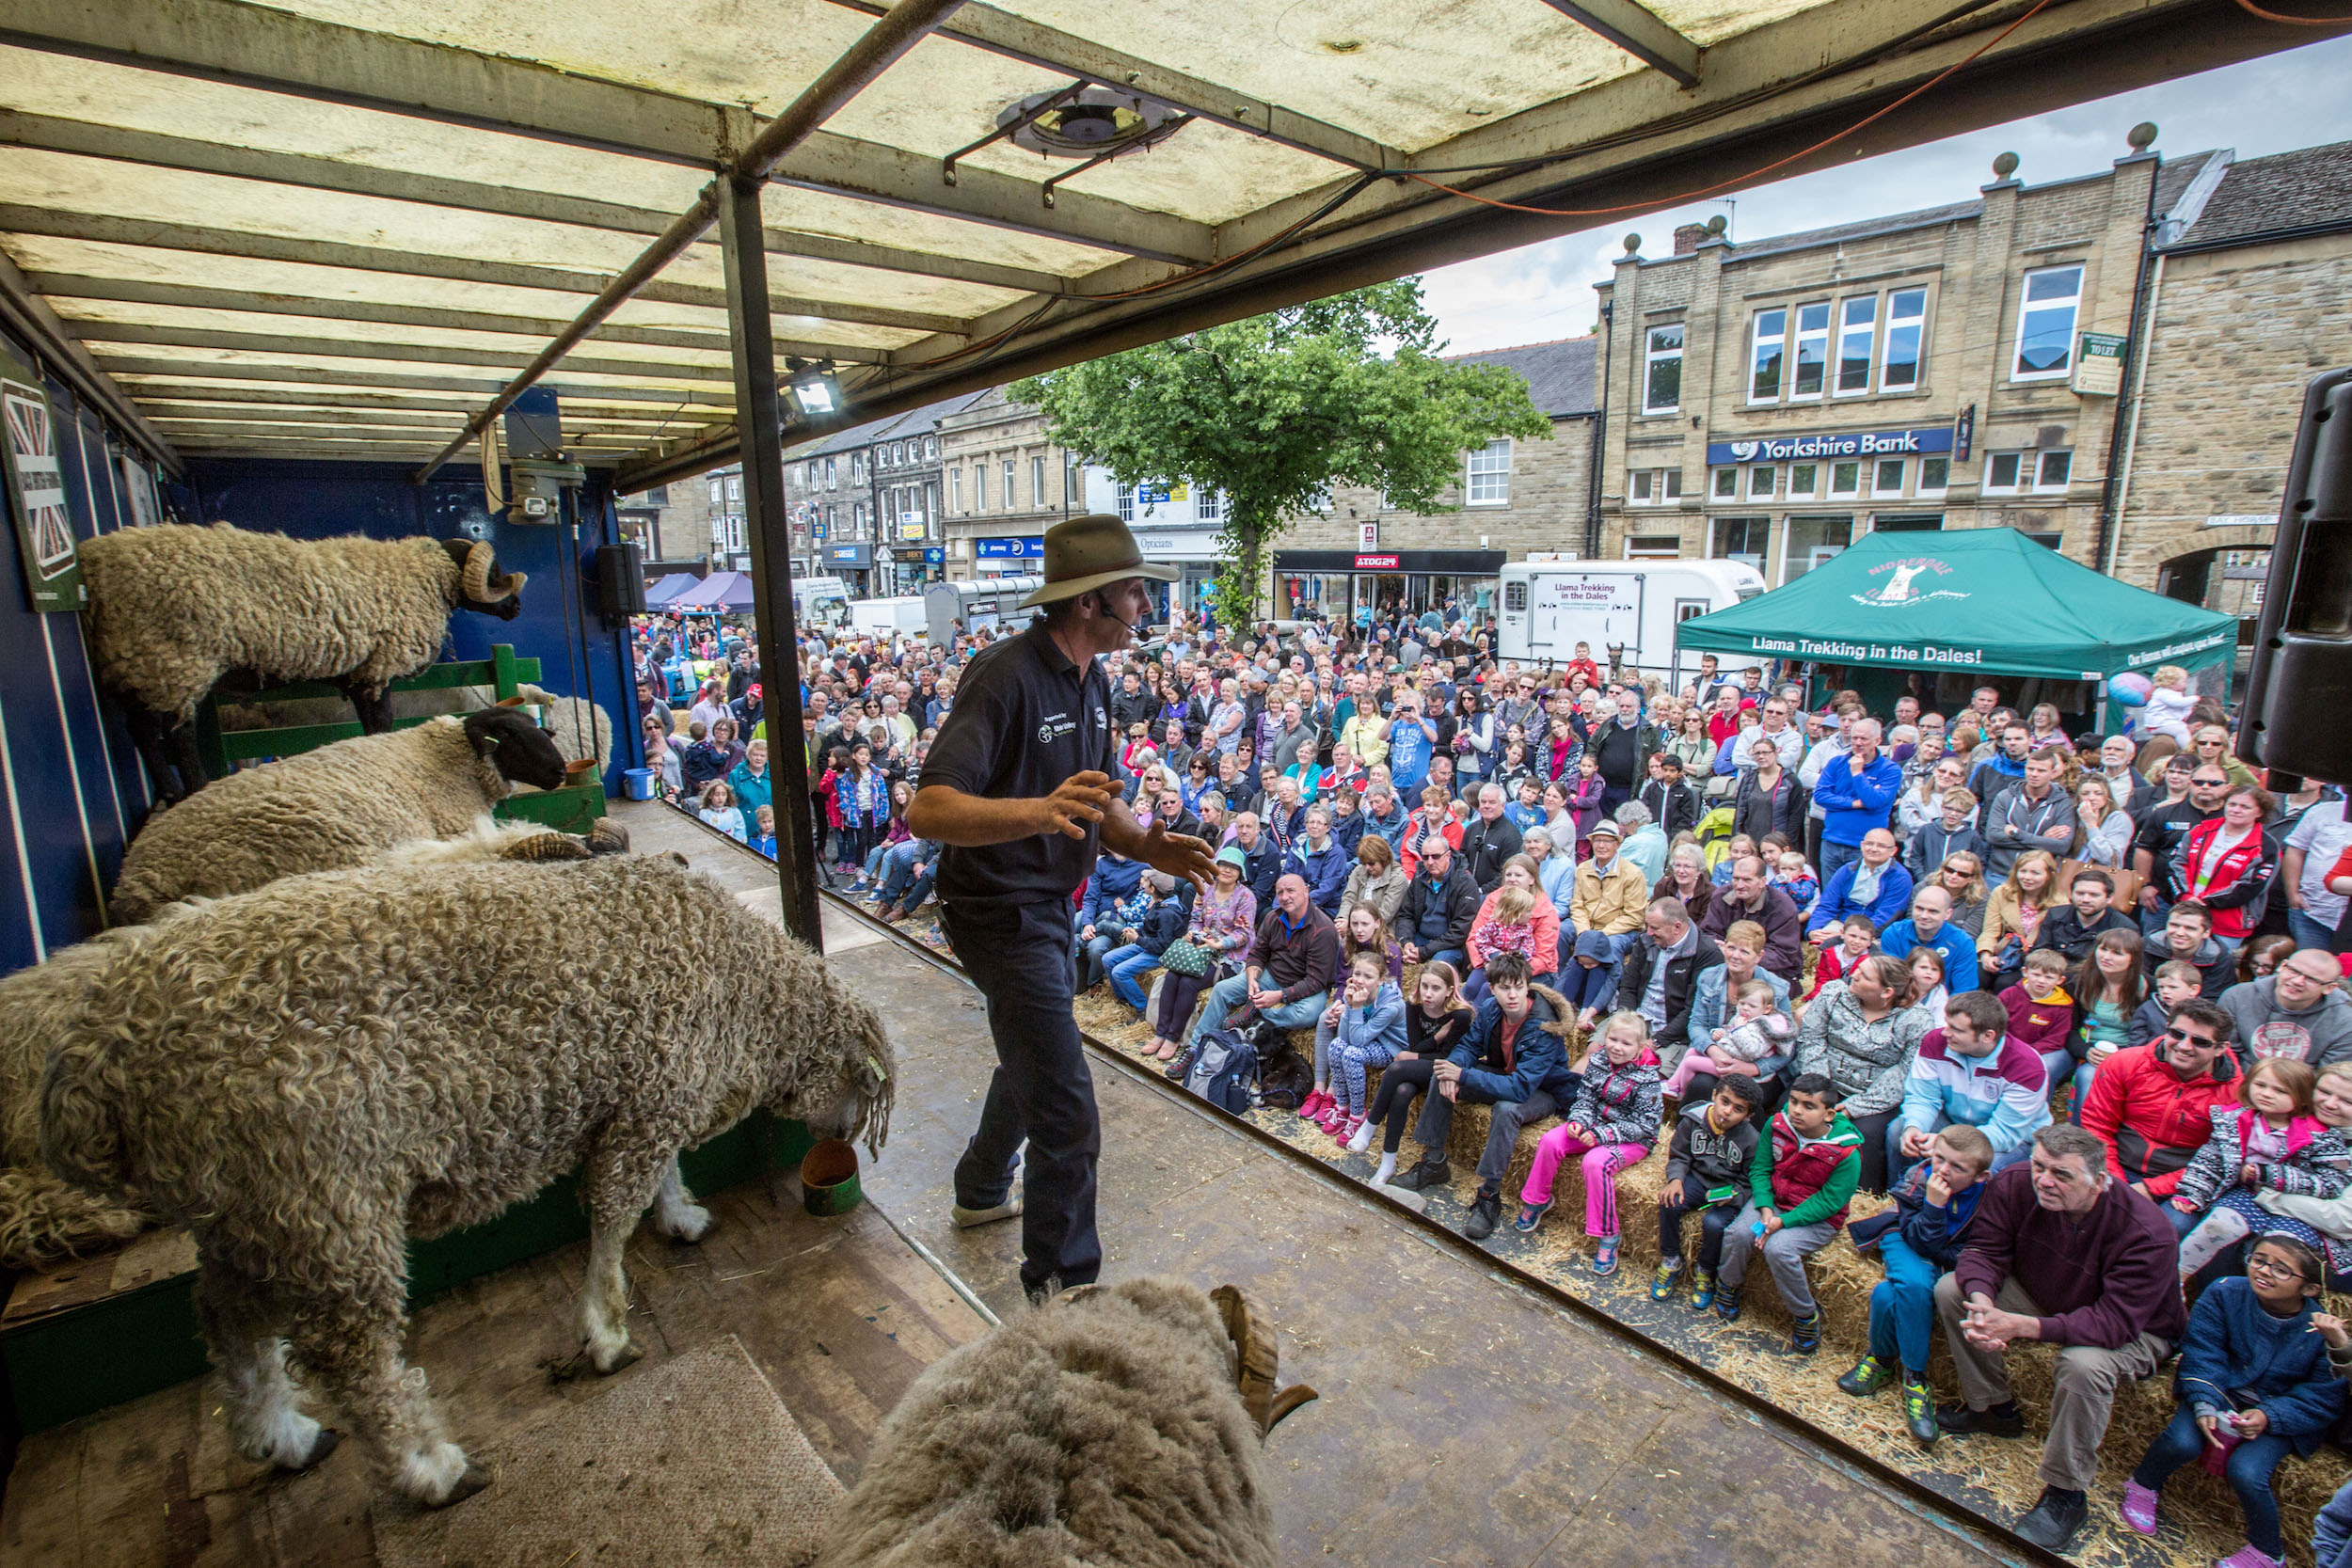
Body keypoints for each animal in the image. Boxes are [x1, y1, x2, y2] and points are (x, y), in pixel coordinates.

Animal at [37, 850, 889, 1513]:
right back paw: (430, 1468)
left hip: (250, 1211)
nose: (840, 1142)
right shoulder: (650, 1095)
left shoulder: (646, 1095)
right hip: (323, 1196)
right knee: (353, 1358)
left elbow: (656, 1176)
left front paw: (678, 1214)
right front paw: (606, 1328)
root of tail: (95, 1061)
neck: (742, 987)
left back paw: (282, 1435)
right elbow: (612, 1216)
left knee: (225, 1316)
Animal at [81, 524, 529, 803]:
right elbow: (380, 722)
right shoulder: (378, 666)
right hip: (176, 659)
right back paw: (190, 788)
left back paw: (173, 790)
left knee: (143, 731)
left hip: (143, 663)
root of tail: (95, 562)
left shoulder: (358, 673)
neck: (424, 578)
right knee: (175, 735)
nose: (516, 607)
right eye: (494, 571)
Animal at [112, 705, 580, 926]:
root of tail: (135, 881)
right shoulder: (452, 822)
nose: (560, 771)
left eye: (539, 729)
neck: (450, 757)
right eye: (510, 735)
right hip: (324, 842)